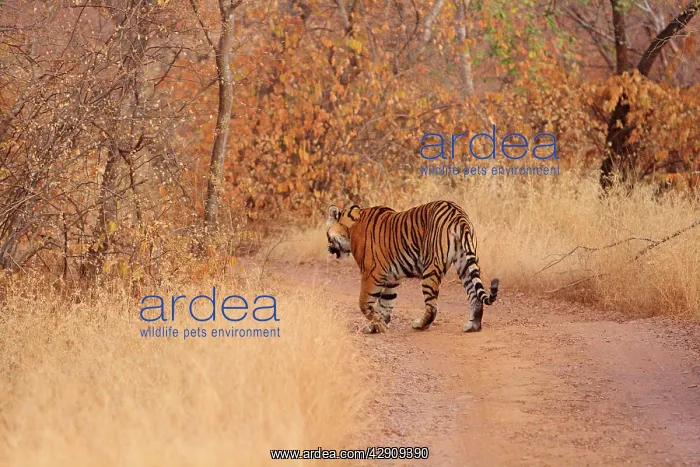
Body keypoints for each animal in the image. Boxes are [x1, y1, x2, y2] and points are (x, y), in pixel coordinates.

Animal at [326, 200, 499, 334]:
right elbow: (385, 304)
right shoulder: (391, 279)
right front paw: (378, 326)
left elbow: (364, 303)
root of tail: (458, 214)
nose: (328, 249)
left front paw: (378, 326)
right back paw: (472, 326)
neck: (350, 228)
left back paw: (419, 325)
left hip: (431, 267)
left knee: (432, 307)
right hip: (465, 262)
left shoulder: (372, 273)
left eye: (327, 236)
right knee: (475, 296)